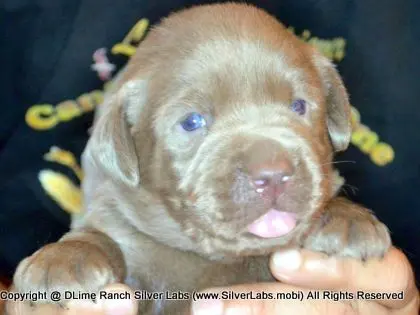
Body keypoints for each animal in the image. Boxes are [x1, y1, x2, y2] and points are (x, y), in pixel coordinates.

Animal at [11, 3, 390, 315]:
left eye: (298, 106)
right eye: (192, 122)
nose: (272, 174)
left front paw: (345, 219)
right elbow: (97, 234)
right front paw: (63, 259)